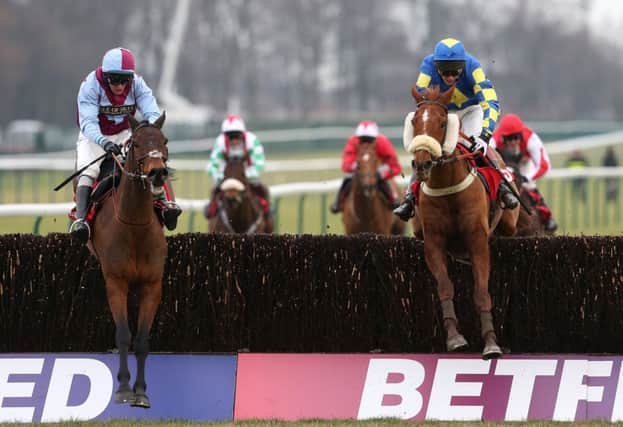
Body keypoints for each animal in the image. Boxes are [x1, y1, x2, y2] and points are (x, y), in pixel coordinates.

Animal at [88, 113, 169, 408]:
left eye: (164, 141)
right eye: (135, 143)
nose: (157, 172)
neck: (134, 225)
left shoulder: (152, 285)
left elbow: (142, 340)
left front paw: (141, 392)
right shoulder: (116, 283)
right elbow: (123, 335)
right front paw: (123, 389)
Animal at [408, 85, 520, 360]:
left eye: (441, 123)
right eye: (415, 122)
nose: (422, 163)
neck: (447, 187)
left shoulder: (477, 240)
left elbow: (481, 292)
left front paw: (491, 344)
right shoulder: (433, 242)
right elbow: (445, 287)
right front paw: (455, 338)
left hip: (509, 223)